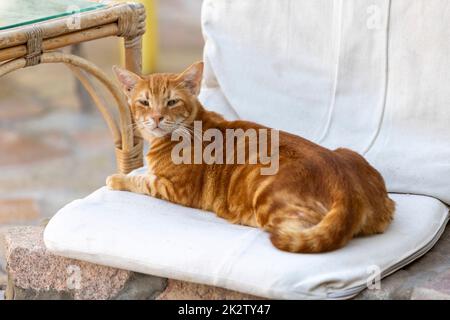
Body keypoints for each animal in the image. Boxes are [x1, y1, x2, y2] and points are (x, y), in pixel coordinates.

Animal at [108, 62, 394, 252]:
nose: (156, 118)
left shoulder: (175, 189)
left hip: (270, 195)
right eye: (144, 103)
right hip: (348, 152)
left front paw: (117, 179)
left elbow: (142, 181)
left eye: (171, 102)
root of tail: (350, 188)